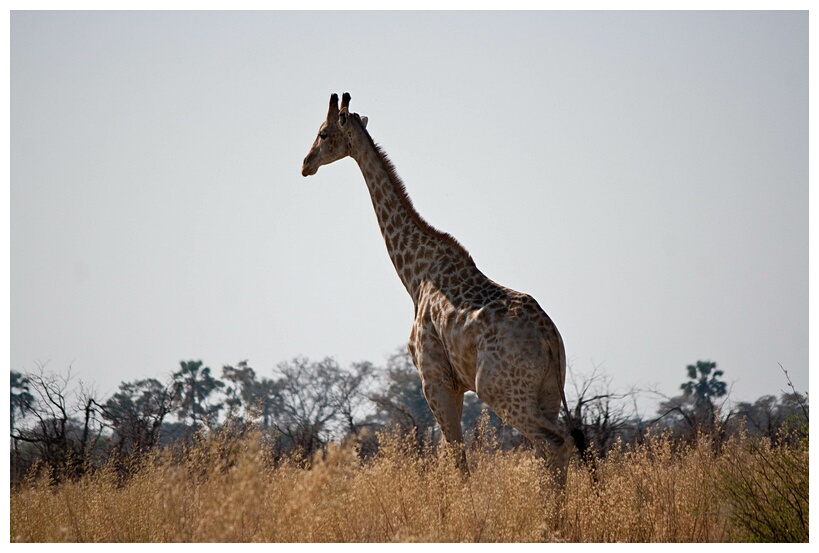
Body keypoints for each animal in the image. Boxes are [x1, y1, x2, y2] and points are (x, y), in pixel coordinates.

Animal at [302, 92, 584, 486]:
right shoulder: (452, 383)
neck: (415, 275)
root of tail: (550, 339)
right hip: (547, 393)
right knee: (554, 449)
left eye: (323, 133)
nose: (305, 164)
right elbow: (457, 457)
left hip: (499, 389)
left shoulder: (434, 378)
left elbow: (456, 459)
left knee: (555, 443)